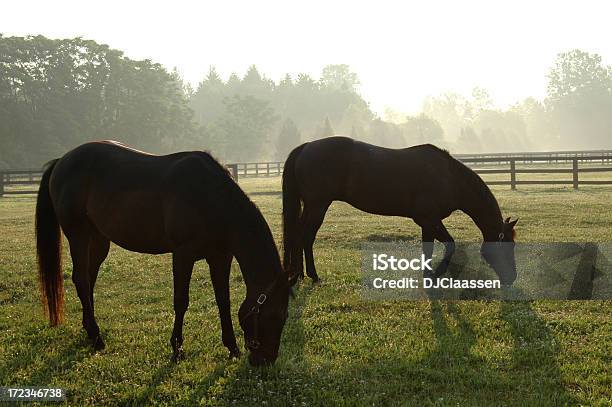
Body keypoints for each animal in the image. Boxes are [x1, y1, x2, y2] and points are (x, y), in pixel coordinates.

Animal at [35, 141, 290, 366]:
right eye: (274, 316)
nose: (264, 360)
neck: (209, 197)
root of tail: (62, 161)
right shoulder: (183, 255)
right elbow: (181, 301)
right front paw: (177, 349)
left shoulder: (220, 257)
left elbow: (223, 301)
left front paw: (232, 347)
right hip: (78, 235)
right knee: (80, 279)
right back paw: (97, 338)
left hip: (98, 240)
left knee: (88, 280)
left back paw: (89, 330)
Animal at [282, 135, 516, 286]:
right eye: (509, 245)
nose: (512, 278)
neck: (449, 177)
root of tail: (307, 147)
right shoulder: (429, 219)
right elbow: (450, 244)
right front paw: (437, 274)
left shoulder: (428, 223)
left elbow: (428, 249)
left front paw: (428, 276)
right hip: (317, 206)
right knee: (306, 236)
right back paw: (312, 275)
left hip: (311, 206)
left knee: (298, 235)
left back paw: (299, 275)